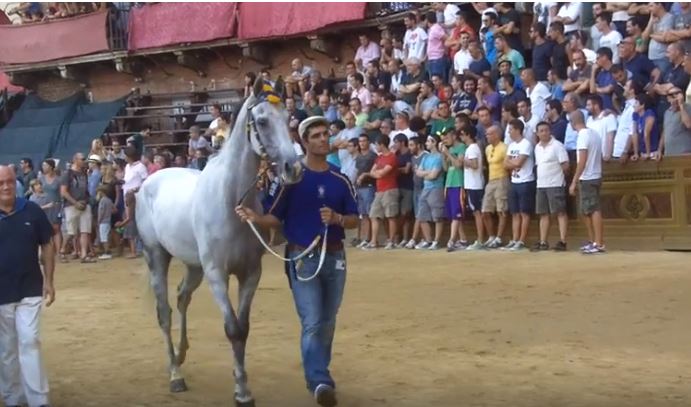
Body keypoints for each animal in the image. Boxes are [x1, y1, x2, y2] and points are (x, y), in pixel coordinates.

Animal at [135, 78, 302, 406]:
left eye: (288, 117)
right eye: (262, 121)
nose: (293, 168)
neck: (230, 199)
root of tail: (148, 182)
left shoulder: (250, 274)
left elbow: (244, 329)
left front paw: (243, 386)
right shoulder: (217, 275)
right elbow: (232, 328)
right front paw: (242, 391)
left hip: (193, 266)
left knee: (182, 297)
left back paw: (181, 354)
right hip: (157, 257)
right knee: (164, 312)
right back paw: (175, 374)